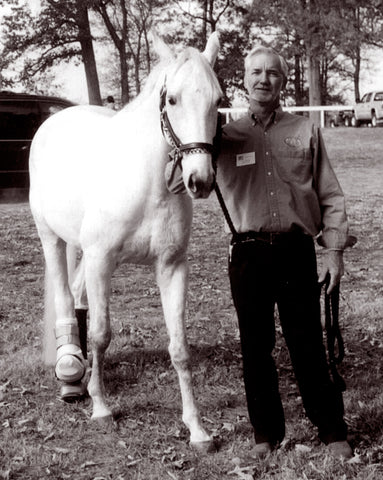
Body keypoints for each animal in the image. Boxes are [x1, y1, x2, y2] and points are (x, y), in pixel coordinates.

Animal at [30, 32, 224, 450]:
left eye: (218, 101)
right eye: (172, 99)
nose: (200, 181)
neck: (147, 183)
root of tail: (55, 119)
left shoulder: (171, 267)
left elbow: (179, 348)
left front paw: (197, 428)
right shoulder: (102, 260)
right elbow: (102, 334)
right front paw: (101, 408)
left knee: (78, 295)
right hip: (52, 239)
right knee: (66, 299)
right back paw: (71, 373)